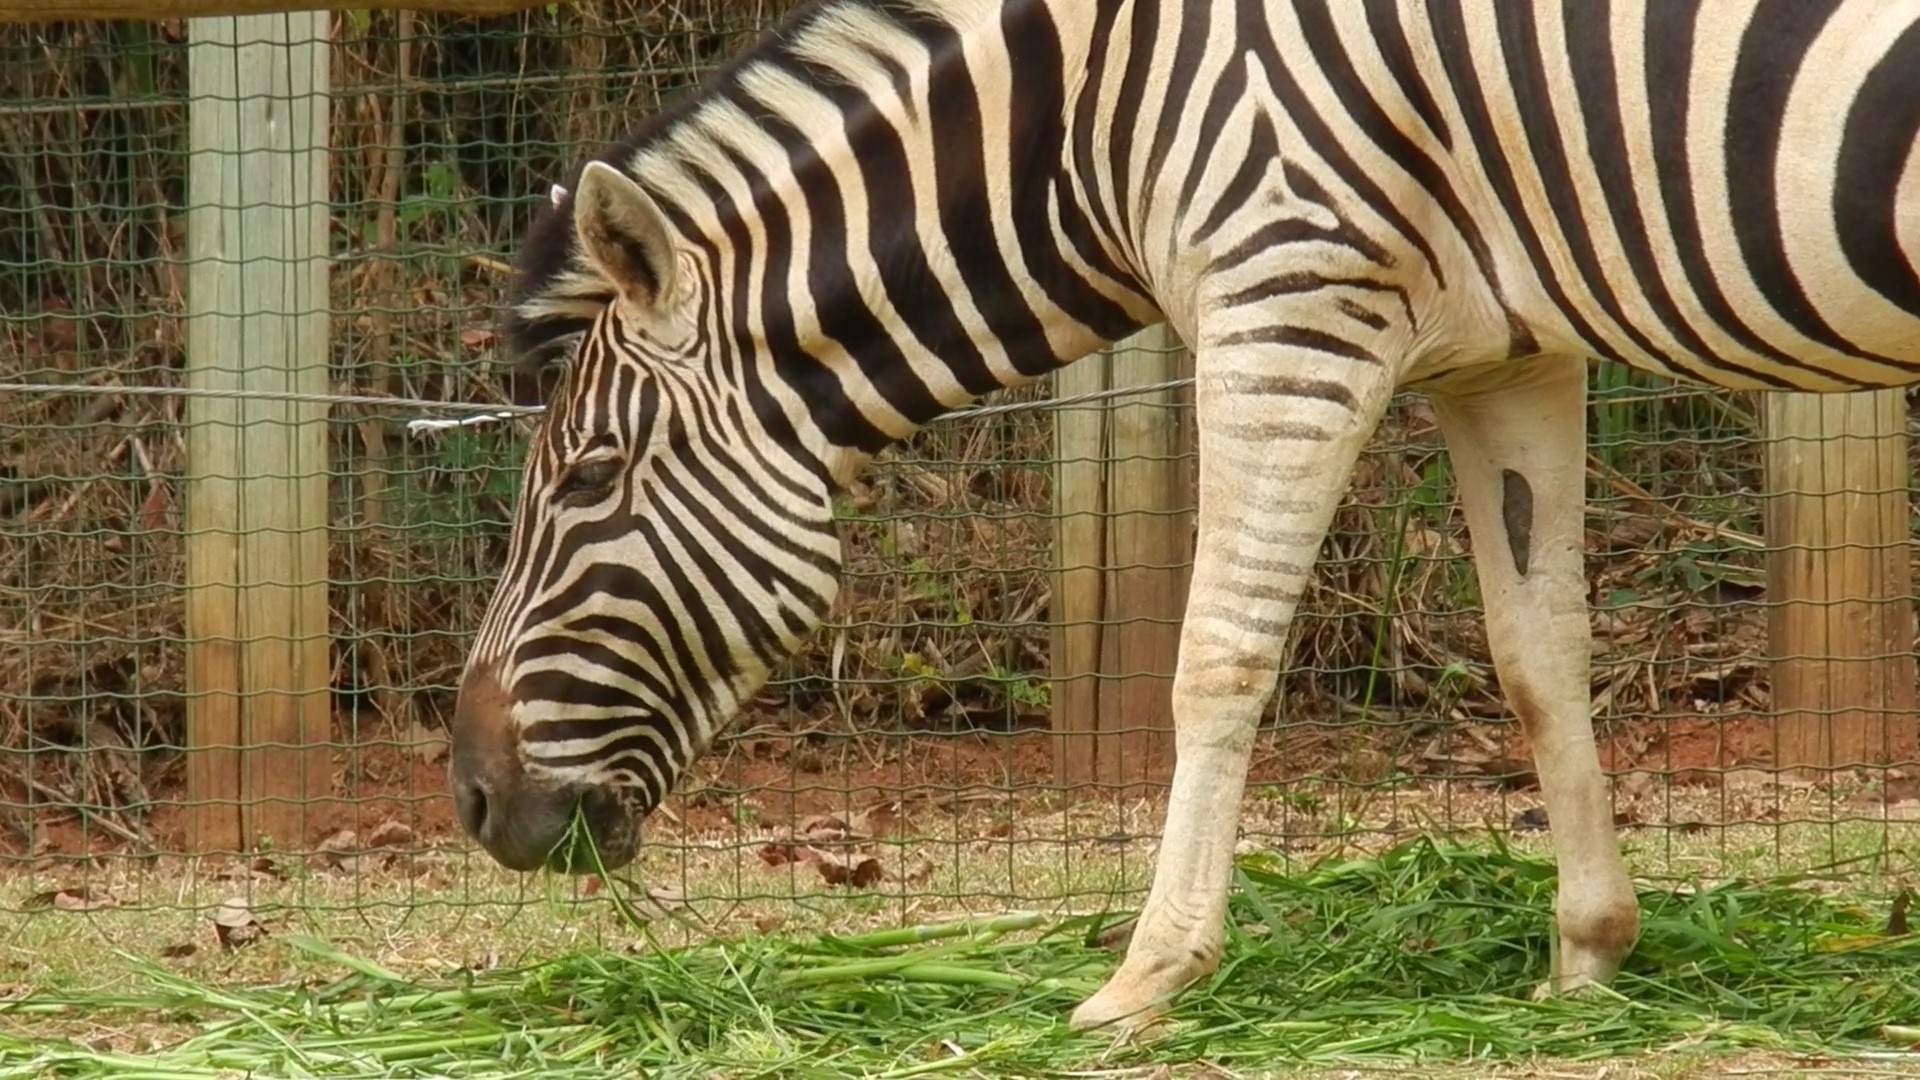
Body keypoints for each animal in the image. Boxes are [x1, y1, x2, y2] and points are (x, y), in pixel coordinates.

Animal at [449, 0, 1920, 1032]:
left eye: (585, 481)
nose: (470, 799)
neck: (1096, 113)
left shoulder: (1289, 298)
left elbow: (1216, 655)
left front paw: (1146, 975)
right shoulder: (1504, 354)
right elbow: (1537, 654)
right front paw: (1588, 953)